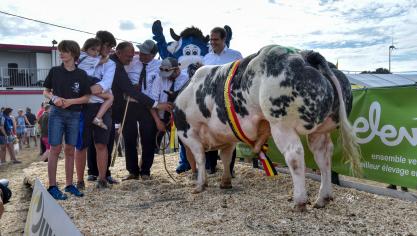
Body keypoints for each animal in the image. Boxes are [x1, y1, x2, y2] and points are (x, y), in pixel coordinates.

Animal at [172, 45, 360, 211]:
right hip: (321, 130)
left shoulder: (188, 132)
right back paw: (322, 198)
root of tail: (305, 55)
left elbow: (200, 158)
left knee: (295, 155)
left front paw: (200, 185)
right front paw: (225, 182)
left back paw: (299, 201)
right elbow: (225, 158)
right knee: (324, 156)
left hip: (281, 125)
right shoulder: (227, 135)